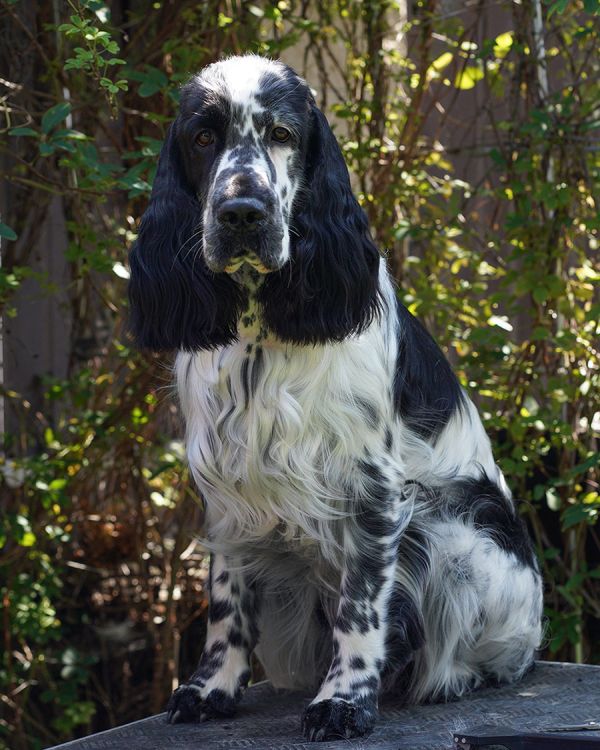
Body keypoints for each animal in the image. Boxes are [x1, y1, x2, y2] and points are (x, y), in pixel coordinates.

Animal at [127, 55, 544, 744]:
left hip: (459, 536)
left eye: (282, 133)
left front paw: (345, 701)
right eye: (203, 137)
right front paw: (212, 687)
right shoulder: (228, 492)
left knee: (496, 656)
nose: (242, 212)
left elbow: (361, 607)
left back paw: (451, 679)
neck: (260, 332)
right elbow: (227, 602)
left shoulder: (372, 488)